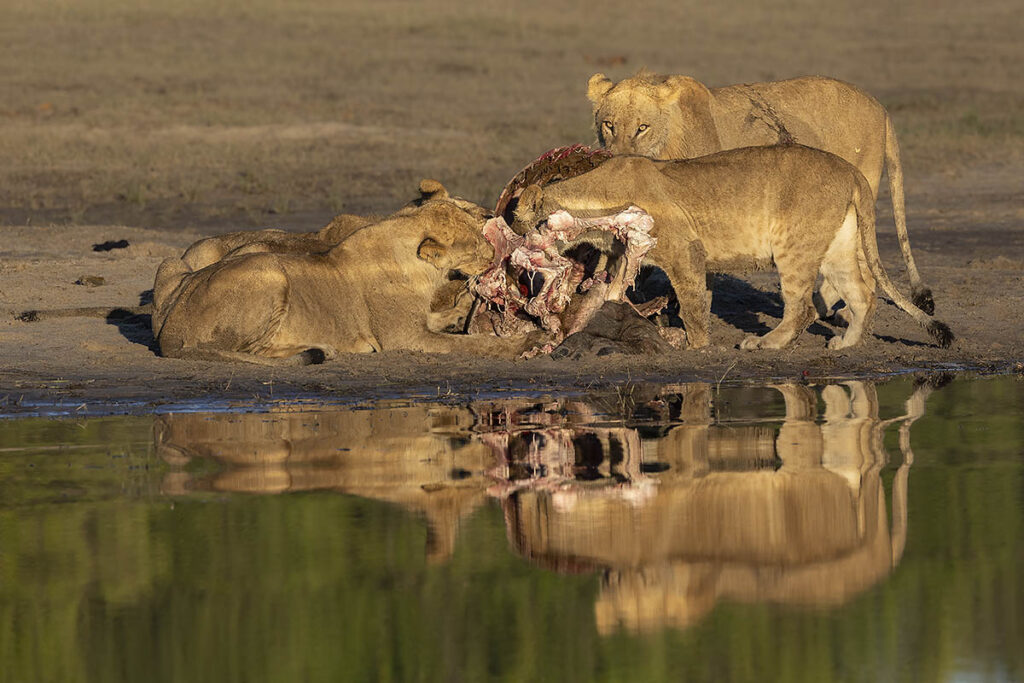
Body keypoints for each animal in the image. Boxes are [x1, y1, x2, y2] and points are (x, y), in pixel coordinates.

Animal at [152, 181, 533, 365]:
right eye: (474, 246)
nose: (497, 254)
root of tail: (170, 331)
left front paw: (457, 313)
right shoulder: (405, 338)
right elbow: (471, 346)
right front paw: (526, 343)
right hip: (269, 269)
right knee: (247, 350)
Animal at [512, 145, 953, 351]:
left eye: (516, 218)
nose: (511, 240)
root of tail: (851, 170)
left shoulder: (685, 249)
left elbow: (692, 302)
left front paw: (696, 345)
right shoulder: (628, 254)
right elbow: (616, 292)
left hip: (793, 246)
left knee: (804, 307)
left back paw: (765, 343)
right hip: (836, 247)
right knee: (863, 293)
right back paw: (846, 343)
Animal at [587, 71, 934, 316]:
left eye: (642, 128)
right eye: (609, 125)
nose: (617, 161)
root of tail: (881, 108)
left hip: (862, 188)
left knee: (864, 259)